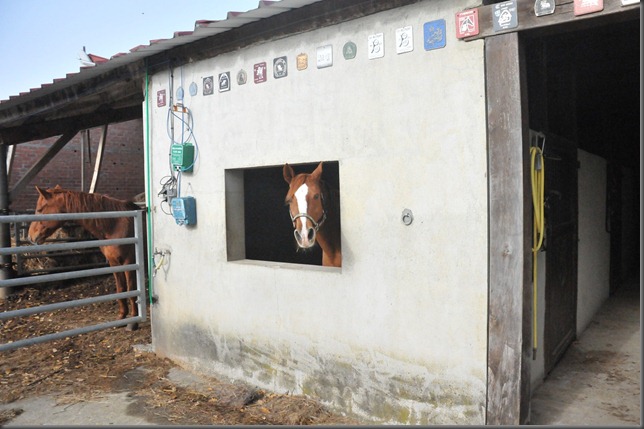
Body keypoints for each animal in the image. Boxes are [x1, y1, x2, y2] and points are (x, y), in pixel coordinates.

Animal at [27, 185, 145, 328]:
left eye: (39, 209)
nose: (30, 236)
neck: (115, 224)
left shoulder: (130, 262)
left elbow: (132, 290)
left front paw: (133, 322)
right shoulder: (114, 263)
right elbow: (121, 289)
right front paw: (122, 317)